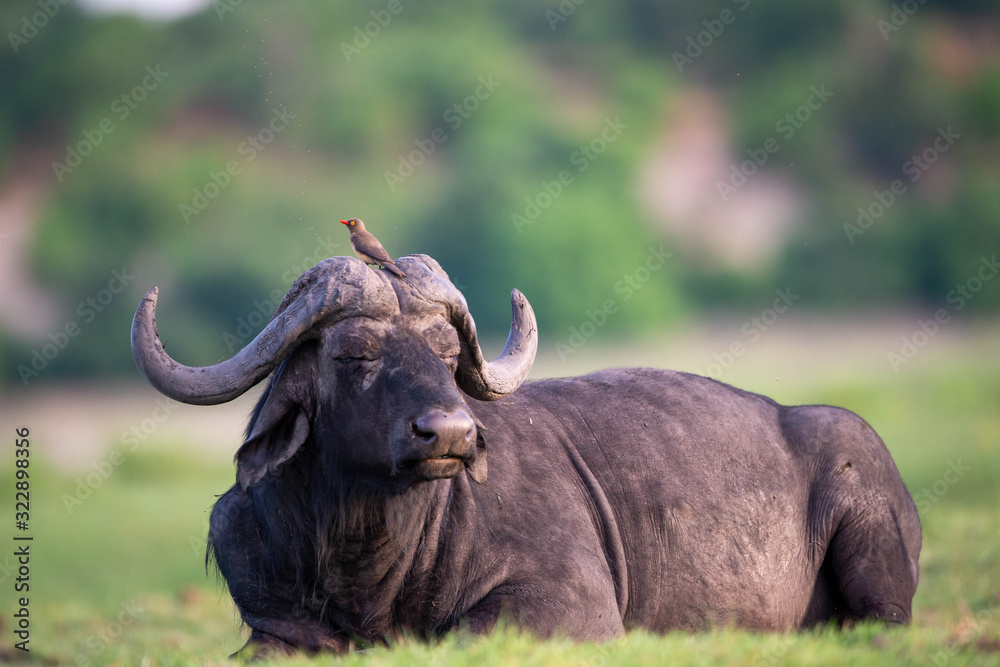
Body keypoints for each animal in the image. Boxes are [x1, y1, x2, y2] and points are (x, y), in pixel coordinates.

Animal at [131, 255, 920, 657]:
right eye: (356, 352)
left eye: (447, 354)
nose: (450, 433)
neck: (365, 558)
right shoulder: (274, 629)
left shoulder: (571, 607)